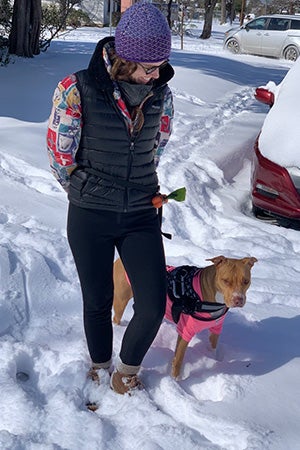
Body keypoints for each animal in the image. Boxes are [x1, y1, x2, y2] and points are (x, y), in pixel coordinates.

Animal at [111, 255, 256, 378]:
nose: (238, 299)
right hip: (121, 299)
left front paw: (212, 358)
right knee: (116, 317)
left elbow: (212, 347)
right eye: (225, 281)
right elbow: (178, 359)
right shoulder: (185, 332)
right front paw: (176, 379)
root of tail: (119, 260)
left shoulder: (216, 328)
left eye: (246, 281)